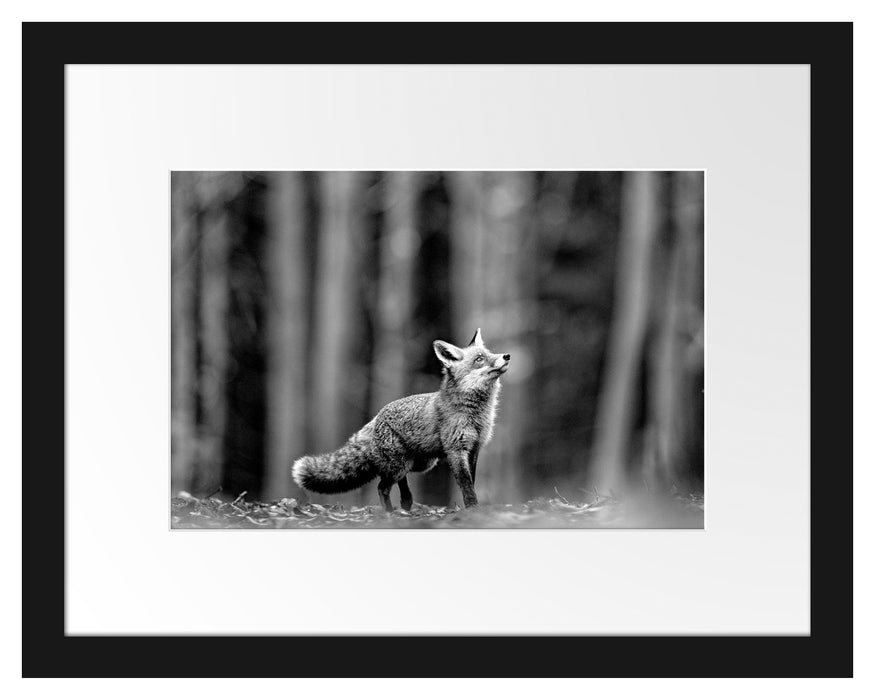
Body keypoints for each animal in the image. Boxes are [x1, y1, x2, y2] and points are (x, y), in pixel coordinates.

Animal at [294, 330, 510, 512]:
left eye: (490, 352)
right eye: (479, 359)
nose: (506, 356)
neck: (476, 414)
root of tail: (376, 416)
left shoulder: (475, 448)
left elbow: (471, 482)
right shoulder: (456, 450)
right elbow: (466, 485)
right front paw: (473, 509)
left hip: (419, 463)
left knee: (399, 483)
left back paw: (406, 504)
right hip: (400, 465)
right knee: (382, 487)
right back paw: (390, 513)